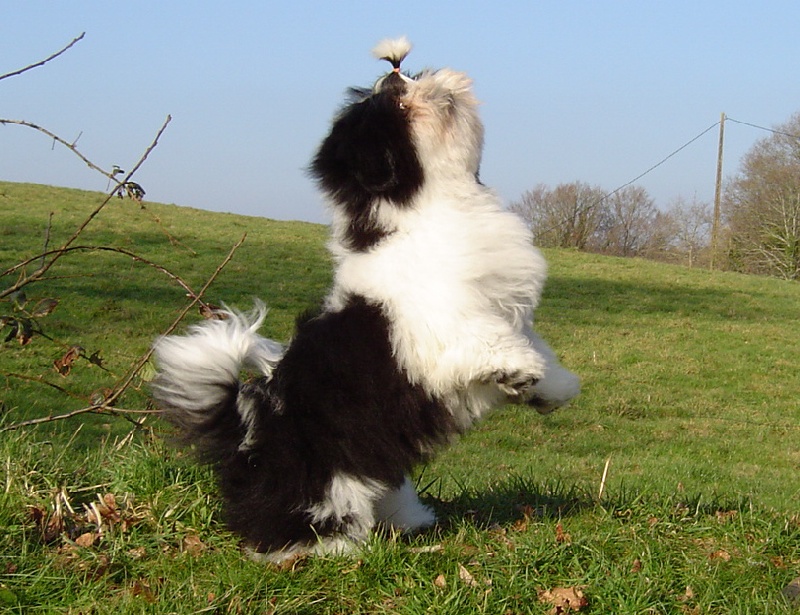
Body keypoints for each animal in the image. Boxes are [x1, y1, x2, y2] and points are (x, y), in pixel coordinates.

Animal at [150, 38, 580, 564]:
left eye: (408, 79)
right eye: (396, 104)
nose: (403, 75)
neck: (426, 211)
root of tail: (245, 428)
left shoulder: (509, 313)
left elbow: (537, 348)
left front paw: (552, 388)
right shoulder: (442, 326)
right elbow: (487, 342)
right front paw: (520, 371)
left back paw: (409, 521)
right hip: (320, 481)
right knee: (296, 521)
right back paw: (330, 550)